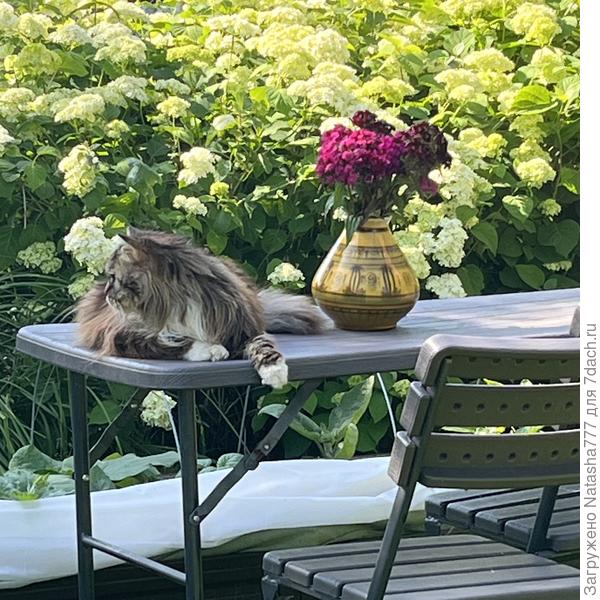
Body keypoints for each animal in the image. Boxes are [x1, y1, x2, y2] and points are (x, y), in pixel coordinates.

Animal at [75, 228, 328, 388]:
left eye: (112, 276)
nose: (106, 292)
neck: (176, 302)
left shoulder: (245, 329)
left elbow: (264, 346)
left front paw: (275, 372)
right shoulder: (123, 336)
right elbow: (172, 342)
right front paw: (213, 350)